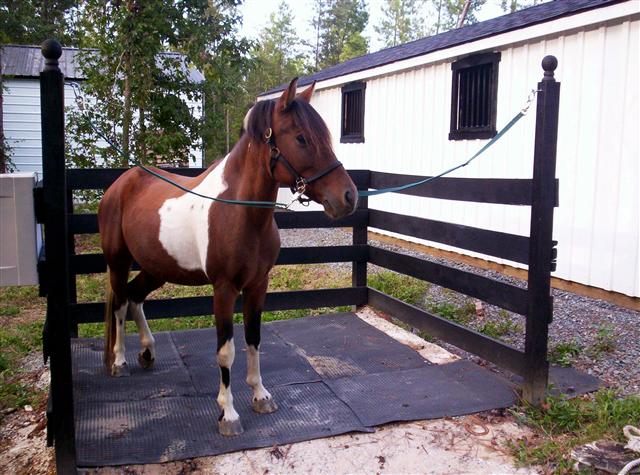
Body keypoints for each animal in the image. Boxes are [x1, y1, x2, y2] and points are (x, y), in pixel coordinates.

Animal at [99, 77, 360, 436]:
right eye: (301, 137)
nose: (348, 197)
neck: (240, 212)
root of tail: (120, 184)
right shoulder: (223, 290)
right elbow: (226, 352)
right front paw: (229, 413)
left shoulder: (258, 285)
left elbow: (254, 339)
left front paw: (261, 396)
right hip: (119, 261)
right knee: (121, 304)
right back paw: (120, 361)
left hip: (157, 267)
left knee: (136, 298)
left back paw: (147, 352)